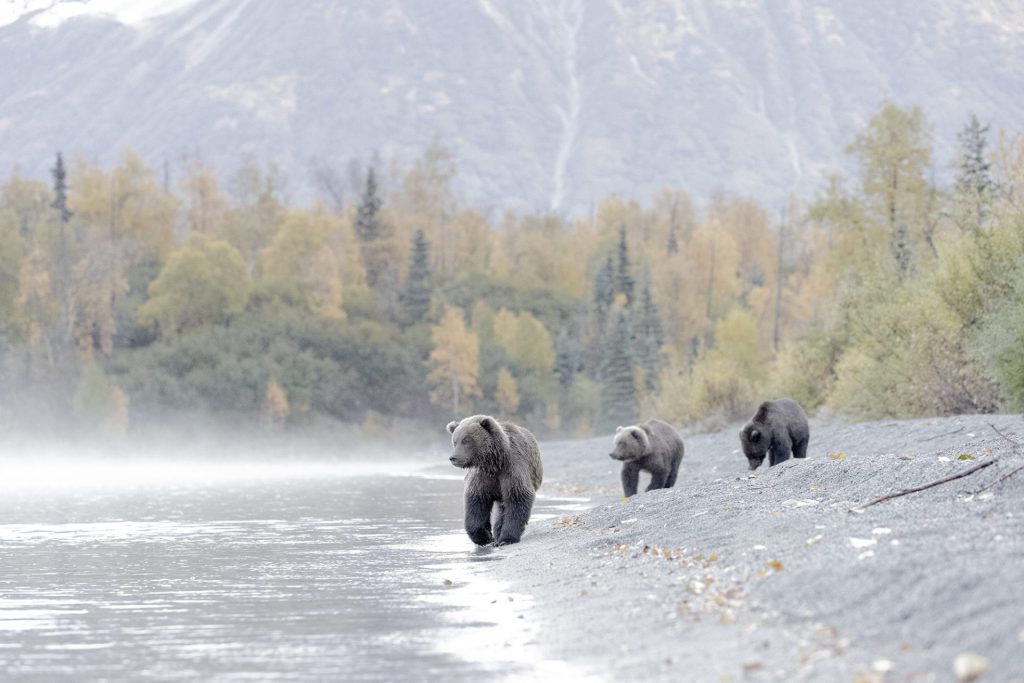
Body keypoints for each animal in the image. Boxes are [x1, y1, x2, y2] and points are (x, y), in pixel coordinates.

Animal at [446, 413, 544, 548]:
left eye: (466, 440)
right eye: (455, 441)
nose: (453, 457)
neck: (493, 463)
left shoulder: (512, 468)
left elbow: (518, 497)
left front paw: (506, 538)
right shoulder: (482, 477)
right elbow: (476, 503)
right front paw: (484, 538)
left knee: (503, 510)